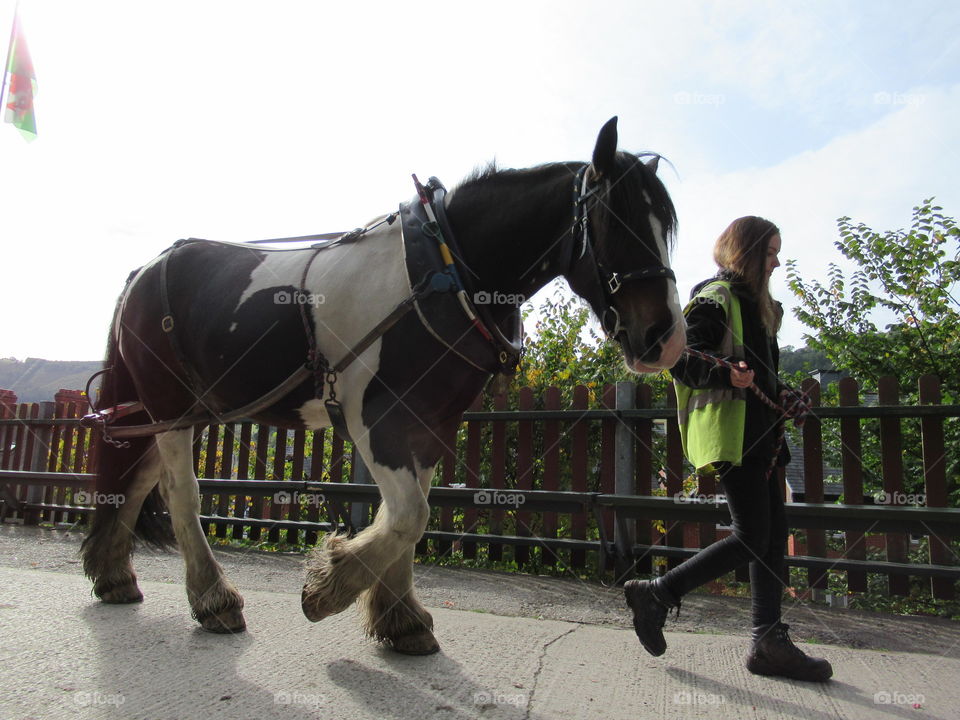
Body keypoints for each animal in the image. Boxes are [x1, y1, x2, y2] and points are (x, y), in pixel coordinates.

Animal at [80, 119, 684, 660]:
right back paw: (213, 598)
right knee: (180, 492)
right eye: (616, 220)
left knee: (138, 478)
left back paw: (114, 574)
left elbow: (408, 519)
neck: (444, 271)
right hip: (170, 404)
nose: (665, 338)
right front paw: (330, 585)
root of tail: (143, 272)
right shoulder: (375, 417)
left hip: (184, 407)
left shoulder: (430, 423)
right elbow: (409, 515)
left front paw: (400, 617)